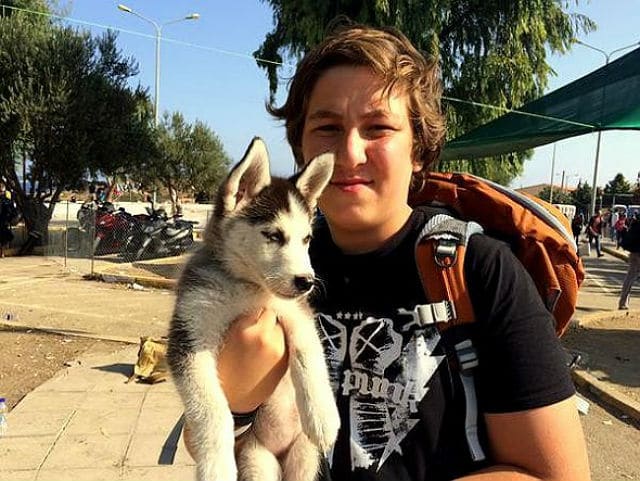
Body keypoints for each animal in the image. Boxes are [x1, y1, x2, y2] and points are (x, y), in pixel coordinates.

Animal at [169, 136, 340, 480]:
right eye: (273, 235)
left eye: (307, 239)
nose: (307, 282)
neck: (247, 289)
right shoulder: (189, 333)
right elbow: (212, 410)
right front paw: (216, 466)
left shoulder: (297, 313)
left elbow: (308, 355)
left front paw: (323, 417)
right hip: (255, 459)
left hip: (306, 459)